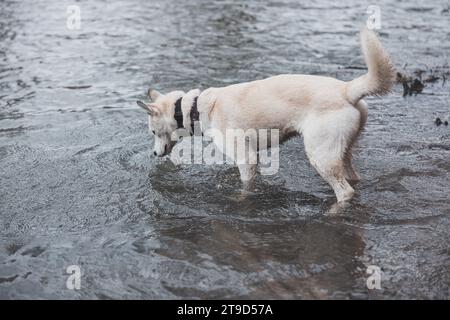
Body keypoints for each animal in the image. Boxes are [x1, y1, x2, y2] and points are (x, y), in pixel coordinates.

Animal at [136, 28, 394, 202]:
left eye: (152, 131)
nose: (154, 154)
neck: (197, 108)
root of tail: (347, 90)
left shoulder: (246, 157)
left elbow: (246, 185)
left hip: (321, 156)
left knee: (346, 192)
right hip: (343, 151)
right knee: (353, 179)